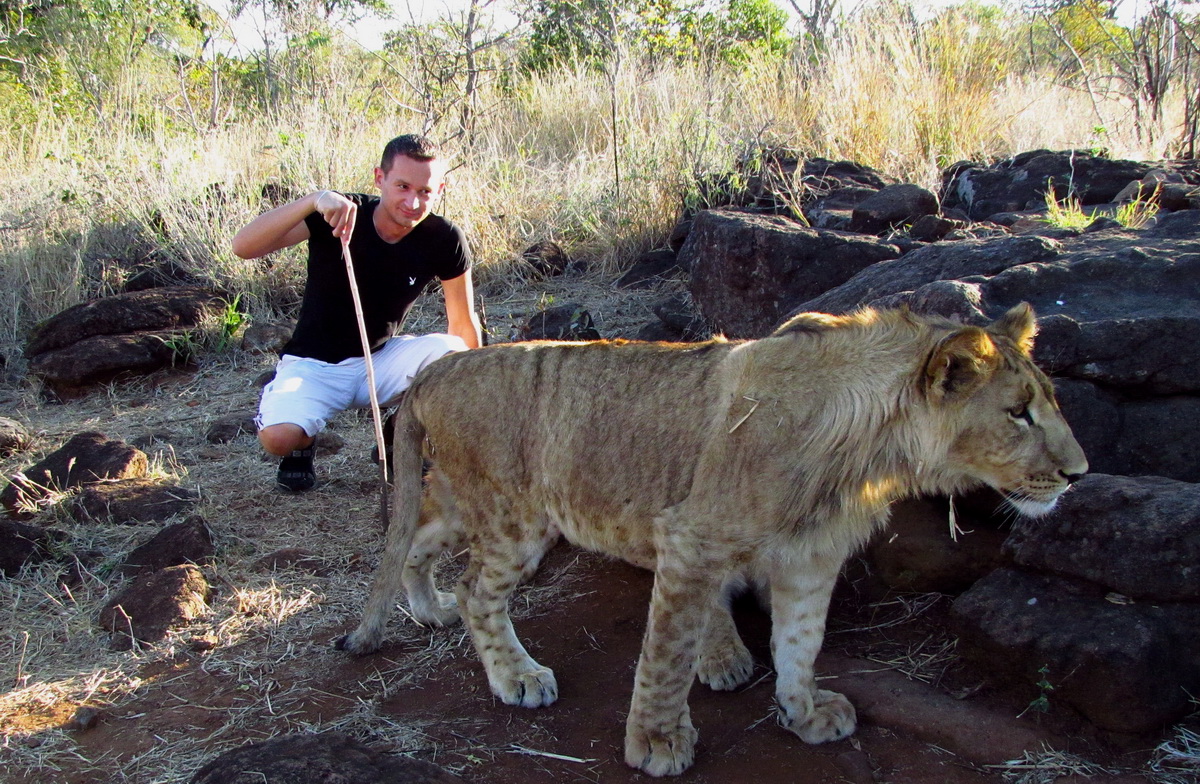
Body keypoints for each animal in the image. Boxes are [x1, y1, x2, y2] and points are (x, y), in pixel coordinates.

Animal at [338, 302, 1088, 777]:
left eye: (1050, 402)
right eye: (1018, 413)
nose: (1078, 474)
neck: (871, 447)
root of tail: (436, 370)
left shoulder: (812, 556)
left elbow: (801, 641)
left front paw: (804, 712)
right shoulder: (691, 539)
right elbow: (665, 656)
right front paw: (657, 742)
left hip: (472, 500)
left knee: (420, 535)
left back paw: (426, 607)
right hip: (516, 514)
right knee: (476, 590)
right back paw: (516, 675)